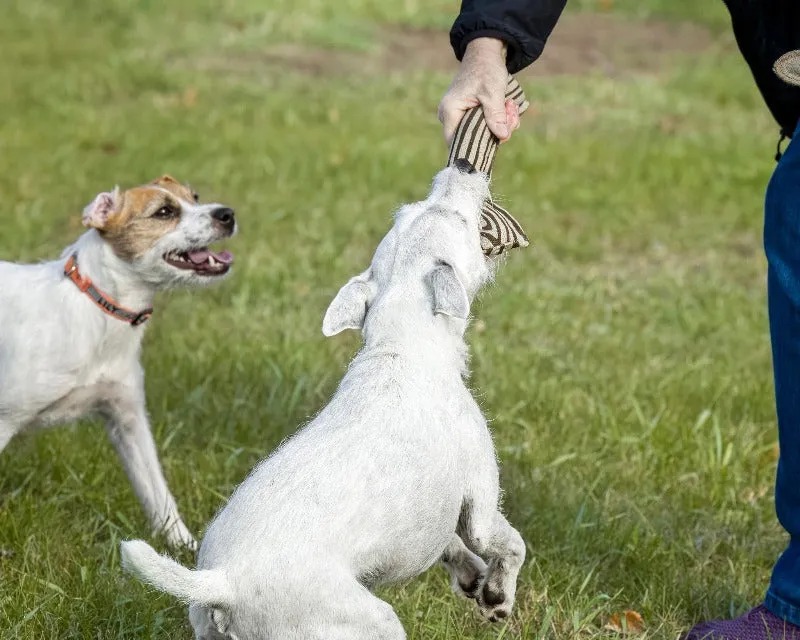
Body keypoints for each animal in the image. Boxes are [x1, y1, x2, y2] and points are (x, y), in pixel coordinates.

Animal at [0, 176, 238, 552]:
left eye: (195, 197)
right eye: (164, 212)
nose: (227, 214)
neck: (98, 310)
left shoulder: (128, 419)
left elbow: (158, 494)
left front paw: (185, 549)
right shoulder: (4, 419)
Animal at [120, 161, 524, 640]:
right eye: (459, 220)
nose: (462, 165)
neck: (401, 344)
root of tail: (224, 583)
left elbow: (452, 544)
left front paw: (471, 576)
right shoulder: (480, 503)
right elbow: (507, 543)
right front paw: (497, 596)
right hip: (368, 623)